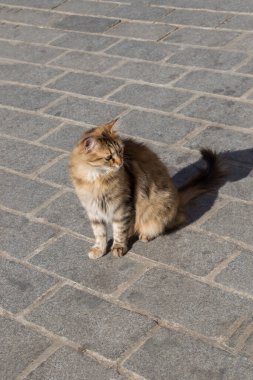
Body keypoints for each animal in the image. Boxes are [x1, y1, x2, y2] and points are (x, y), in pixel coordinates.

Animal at [69, 120, 225, 260]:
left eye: (120, 151)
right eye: (108, 157)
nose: (121, 162)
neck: (95, 179)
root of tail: (177, 196)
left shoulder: (121, 207)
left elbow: (119, 230)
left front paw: (118, 247)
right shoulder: (93, 210)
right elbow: (99, 233)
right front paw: (99, 249)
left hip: (159, 206)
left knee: (172, 221)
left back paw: (146, 235)